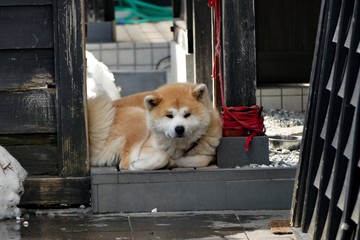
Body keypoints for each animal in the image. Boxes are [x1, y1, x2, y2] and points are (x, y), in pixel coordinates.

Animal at [87, 83, 222, 171]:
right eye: (169, 115)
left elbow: (202, 159)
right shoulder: (146, 148)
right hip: (139, 117)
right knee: (124, 163)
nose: (179, 129)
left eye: (187, 114)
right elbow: (163, 156)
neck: (179, 147)